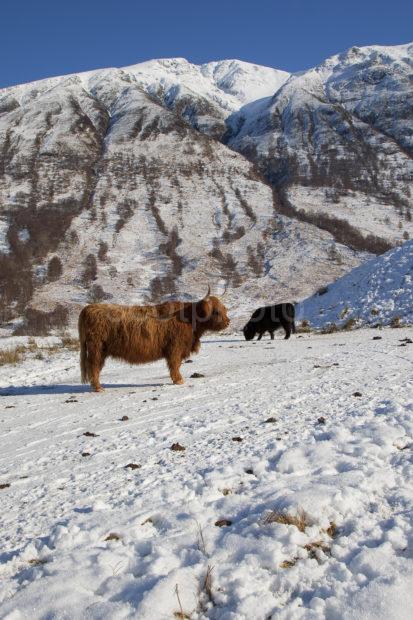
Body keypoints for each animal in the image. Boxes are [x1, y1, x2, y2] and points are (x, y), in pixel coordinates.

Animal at [77, 288, 229, 390]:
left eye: (224, 309)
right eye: (216, 311)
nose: (228, 322)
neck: (189, 320)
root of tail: (88, 308)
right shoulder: (175, 348)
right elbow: (175, 365)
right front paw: (179, 380)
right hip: (97, 349)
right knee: (94, 367)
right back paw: (98, 388)